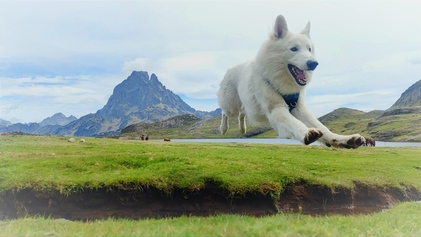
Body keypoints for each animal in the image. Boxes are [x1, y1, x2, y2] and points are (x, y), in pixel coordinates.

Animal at [218, 14, 362, 148]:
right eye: (294, 49)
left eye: (309, 49)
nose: (314, 64)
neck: (280, 81)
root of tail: (230, 69)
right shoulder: (277, 109)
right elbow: (294, 122)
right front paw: (307, 133)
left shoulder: (299, 108)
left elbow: (323, 127)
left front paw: (342, 140)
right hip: (231, 106)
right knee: (225, 112)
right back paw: (223, 129)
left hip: (247, 107)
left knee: (242, 113)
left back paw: (243, 129)